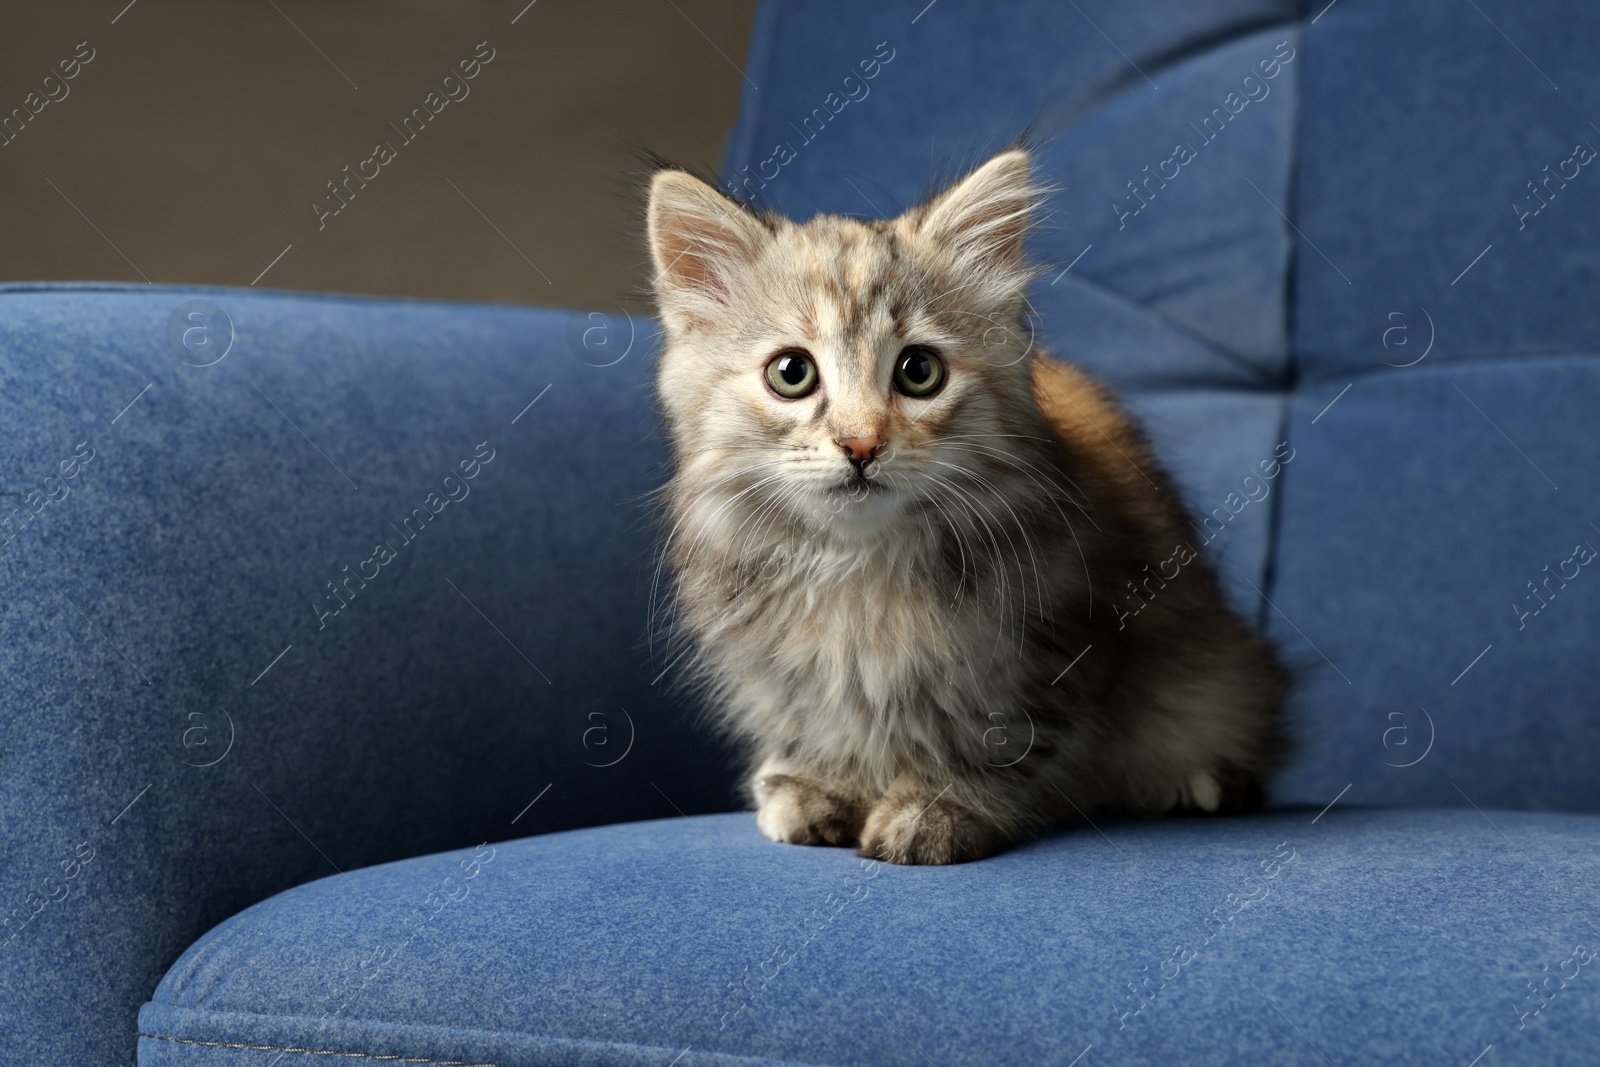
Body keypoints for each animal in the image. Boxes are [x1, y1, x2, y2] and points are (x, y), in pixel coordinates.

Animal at [646, 147, 1286, 870]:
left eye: (918, 372)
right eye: (792, 373)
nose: (861, 443)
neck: (858, 565)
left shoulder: (1050, 646)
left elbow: (995, 740)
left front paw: (940, 807)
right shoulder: (792, 665)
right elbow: (823, 715)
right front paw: (821, 785)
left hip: (1218, 676)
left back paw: (1194, 782)